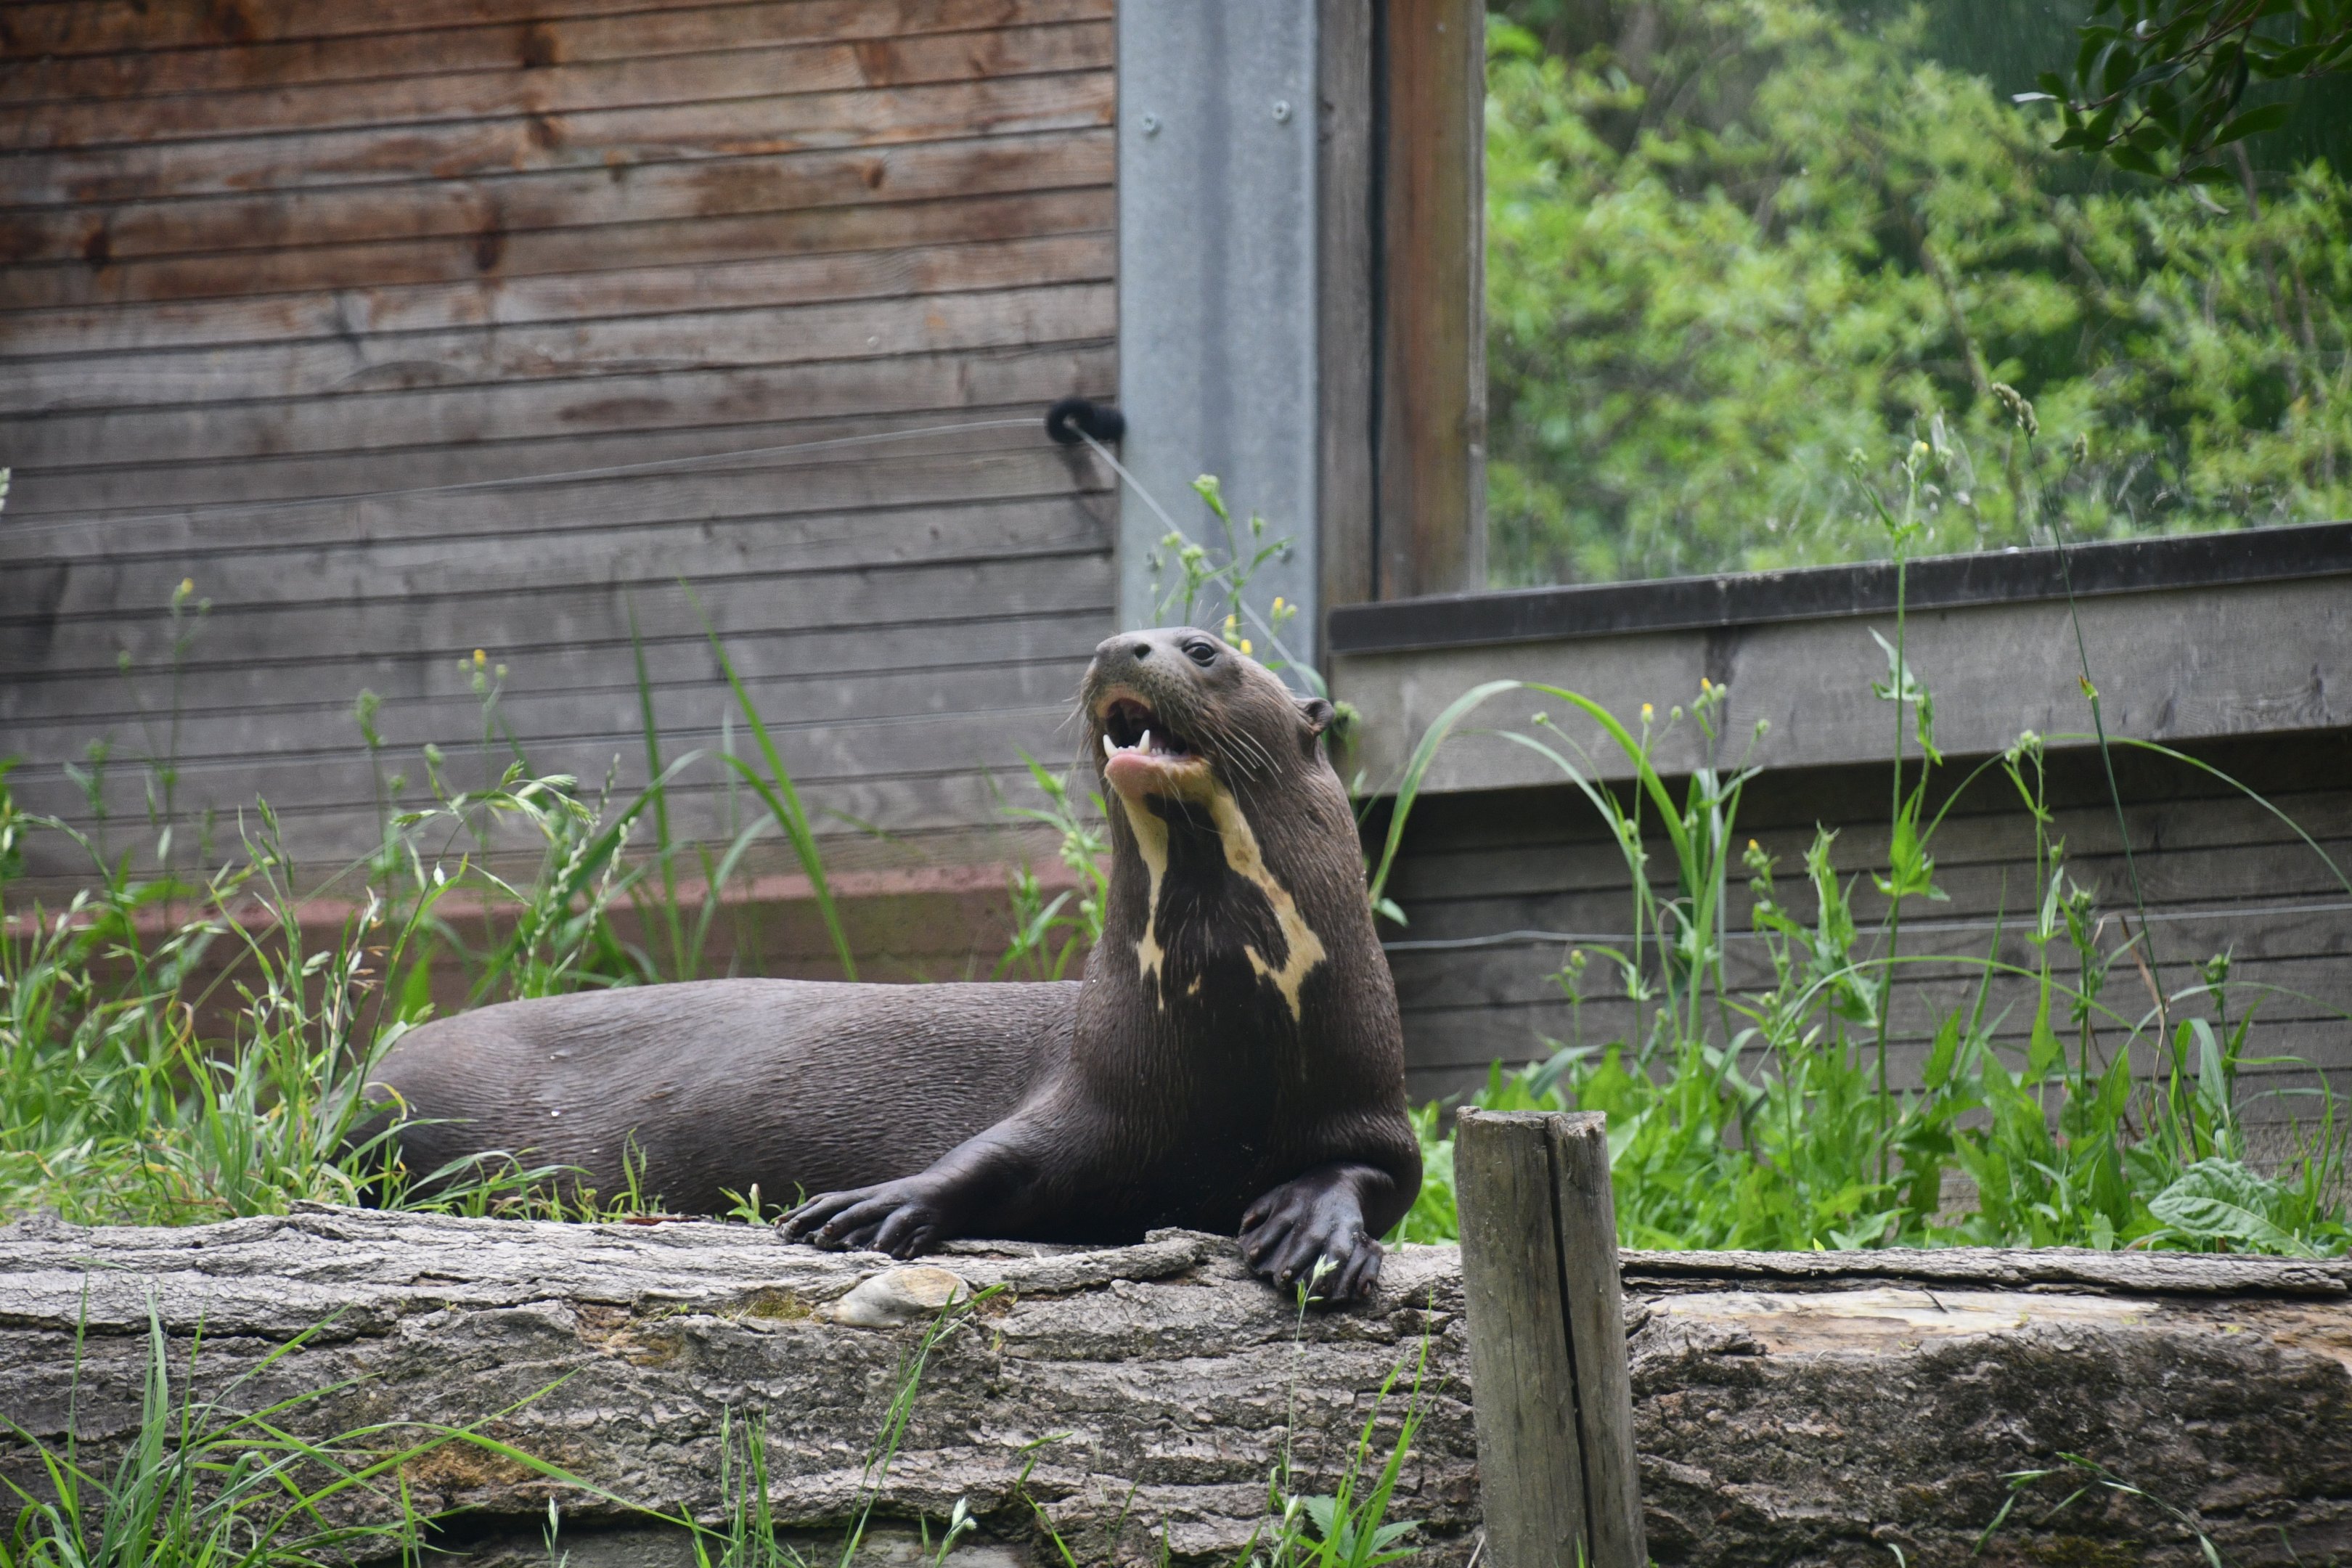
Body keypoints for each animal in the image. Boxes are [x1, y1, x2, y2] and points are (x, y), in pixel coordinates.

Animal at [364, 628, 1421, 1300]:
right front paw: (875, 1203)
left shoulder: (1372, 1094)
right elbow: (997, 1155)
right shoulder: (1092, 1081)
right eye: (1120, 639)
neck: (1230, 1032)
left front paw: (1314, 1232)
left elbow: (1378, 1173)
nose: (1116, 647)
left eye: (1202, 649)